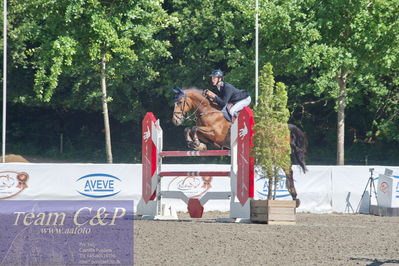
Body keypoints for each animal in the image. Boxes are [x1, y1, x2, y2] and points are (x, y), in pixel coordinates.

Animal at [170, 87, 308, 206]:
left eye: (180, 102)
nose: (175, 121)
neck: (208, 110)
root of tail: (285, 126)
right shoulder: (209, 136)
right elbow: (188, 129)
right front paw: (197, 145)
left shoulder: (215, 134)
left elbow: (194, 128)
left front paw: (197, 144)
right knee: (274, 171)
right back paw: (274, 198)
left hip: (279, 152)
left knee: (288, 170)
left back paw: (294, 197)